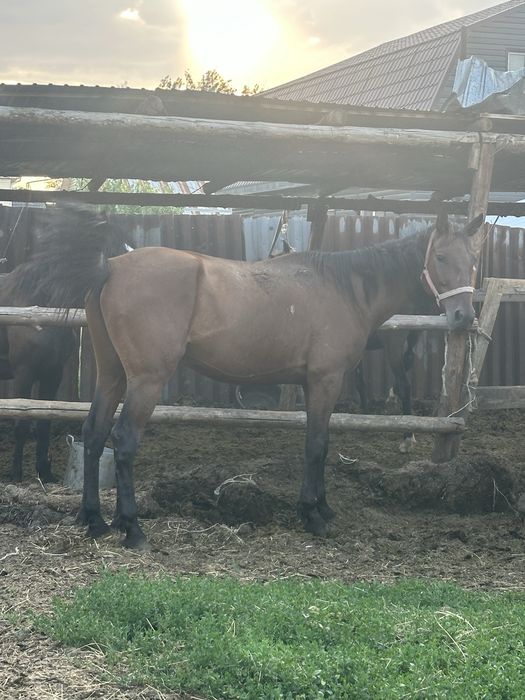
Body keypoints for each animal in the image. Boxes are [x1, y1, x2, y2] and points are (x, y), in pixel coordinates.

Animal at [21, 207, 483, 549]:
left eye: (473, 261)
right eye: (441, 257)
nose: (464, 317)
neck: (343, 288)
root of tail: (112, 267)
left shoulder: (314, 384)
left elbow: (321, 443)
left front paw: (321, 507)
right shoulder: (325, 381)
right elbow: (316, 445)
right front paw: (312, 515)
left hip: (113, 375)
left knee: (94, 433)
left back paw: (94, 520)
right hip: (146, 381)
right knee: (123, 440)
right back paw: (132, 528)